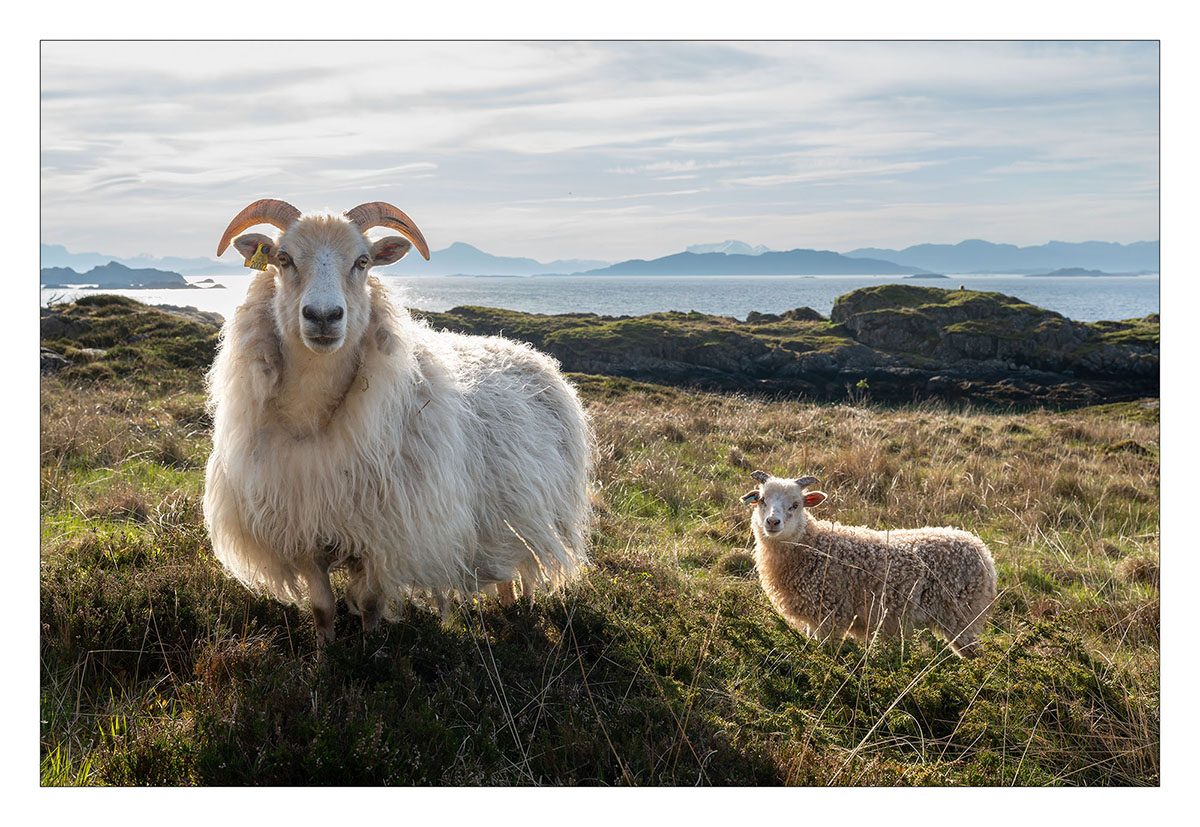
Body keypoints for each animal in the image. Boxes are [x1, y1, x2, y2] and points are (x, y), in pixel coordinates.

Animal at [203, 199, 594, 643]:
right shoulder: (305, 533)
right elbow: (323, 609)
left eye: (363, 261)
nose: (324, 316)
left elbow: (372, 605)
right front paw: (324, 652)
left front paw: (374, 651)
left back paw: (519, 617)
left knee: (519, 570)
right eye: (283, 259)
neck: (314, 416)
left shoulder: (384, 538)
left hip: (530, 515)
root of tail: (526, 351)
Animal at [741, 471, 996, 658]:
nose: (772, 522)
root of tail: (984, 553)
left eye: (796, 505)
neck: (812, 544)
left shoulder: (830, 616)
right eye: (761, 500)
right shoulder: (814, 619)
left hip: (961, 616)